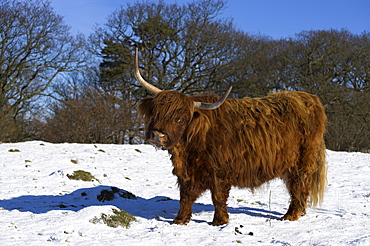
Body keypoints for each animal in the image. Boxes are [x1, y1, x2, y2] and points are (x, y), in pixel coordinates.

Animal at [134, 48, 326, 227]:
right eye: (156, 113)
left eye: (181, 119)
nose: (157, 135)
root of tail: (309, 98)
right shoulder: (188, 173)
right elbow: (186, 196)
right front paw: (180, 220)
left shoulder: (220, 170)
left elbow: (218, 196)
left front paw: (219, 221)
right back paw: (299, 213)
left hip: (303, 161)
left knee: (299, 185)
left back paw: (290, 216)